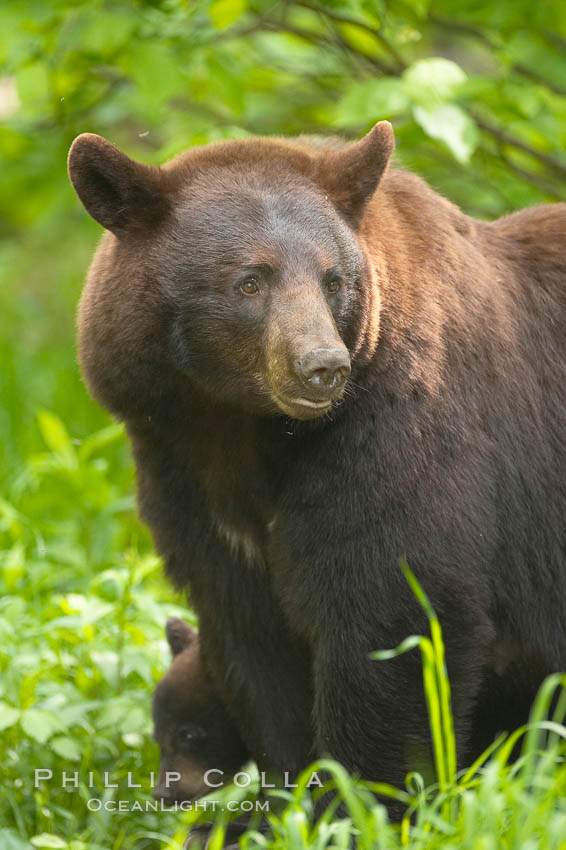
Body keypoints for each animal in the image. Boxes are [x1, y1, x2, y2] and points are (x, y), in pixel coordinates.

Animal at [67, 124, 566, 800]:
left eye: (333, 281)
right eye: (250, 280)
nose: (323, 366)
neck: (242, 430)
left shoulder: (393, 437)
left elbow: (392, 615)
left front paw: (360, 799)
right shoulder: (183, 475)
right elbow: (253, 644)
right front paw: (290, 794)